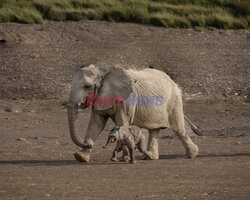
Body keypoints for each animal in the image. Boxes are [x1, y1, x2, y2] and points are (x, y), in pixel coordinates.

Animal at [67, 65, 200, 163]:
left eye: (87, 86)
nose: (89, 145)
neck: (103, 71)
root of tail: (172, 81)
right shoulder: (99, 97)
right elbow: (96, 124)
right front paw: (80, 157)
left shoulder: (127, 99)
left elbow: (122, 123)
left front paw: (124, 159)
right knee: (154, 130)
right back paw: (150, 157)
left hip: (174, 101)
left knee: (179, 129)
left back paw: (192, 155)